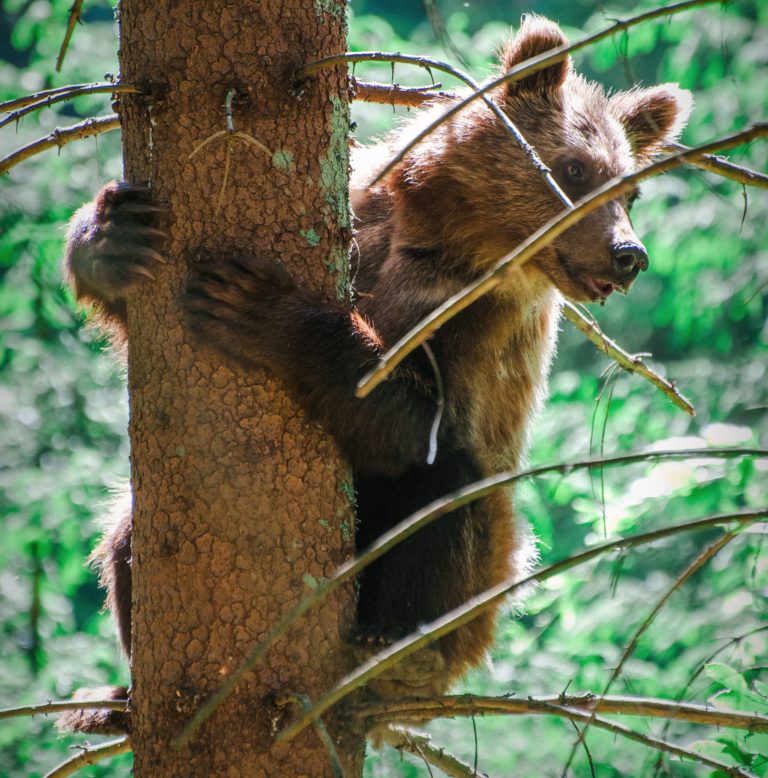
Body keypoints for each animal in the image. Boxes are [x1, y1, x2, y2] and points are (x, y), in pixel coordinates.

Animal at [58, 15, 688, 732]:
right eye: (577, 167)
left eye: (630, 189)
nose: (628, 254)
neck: (451, 238)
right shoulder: (364, 216)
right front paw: (114, 236)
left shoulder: (476, 328)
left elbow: (410, 419)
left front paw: (256, 304)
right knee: (125, 537)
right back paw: (115, 697)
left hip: (485, 572)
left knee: (444, 492)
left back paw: (396, 648)